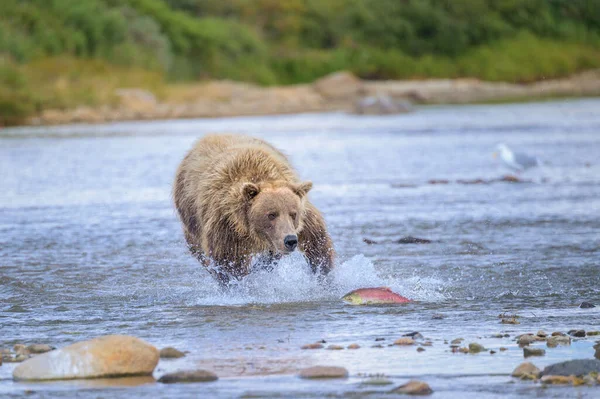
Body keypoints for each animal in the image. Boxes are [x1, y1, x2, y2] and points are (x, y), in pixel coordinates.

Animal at [173, 134, 336, 284]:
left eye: (293, 214)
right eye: (271, 214)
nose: (290, 240)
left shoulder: (303, 218)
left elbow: (316, 242)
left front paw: (323, 273)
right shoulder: (226, 225)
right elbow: (230, 264)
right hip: (192, 226)